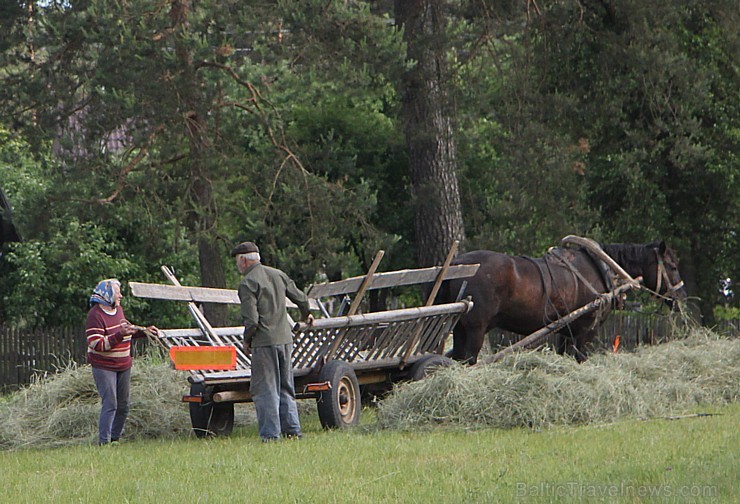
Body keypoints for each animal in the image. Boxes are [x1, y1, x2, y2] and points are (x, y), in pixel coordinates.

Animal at [440, 240, 688, 362]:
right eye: (672, 266)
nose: (681, 298)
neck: (603, 268)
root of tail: (457, 264)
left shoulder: (567, 331)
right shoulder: (586, 330)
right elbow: (580, 358)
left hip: (459, 327)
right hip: (475, 329)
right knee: (469, 359)